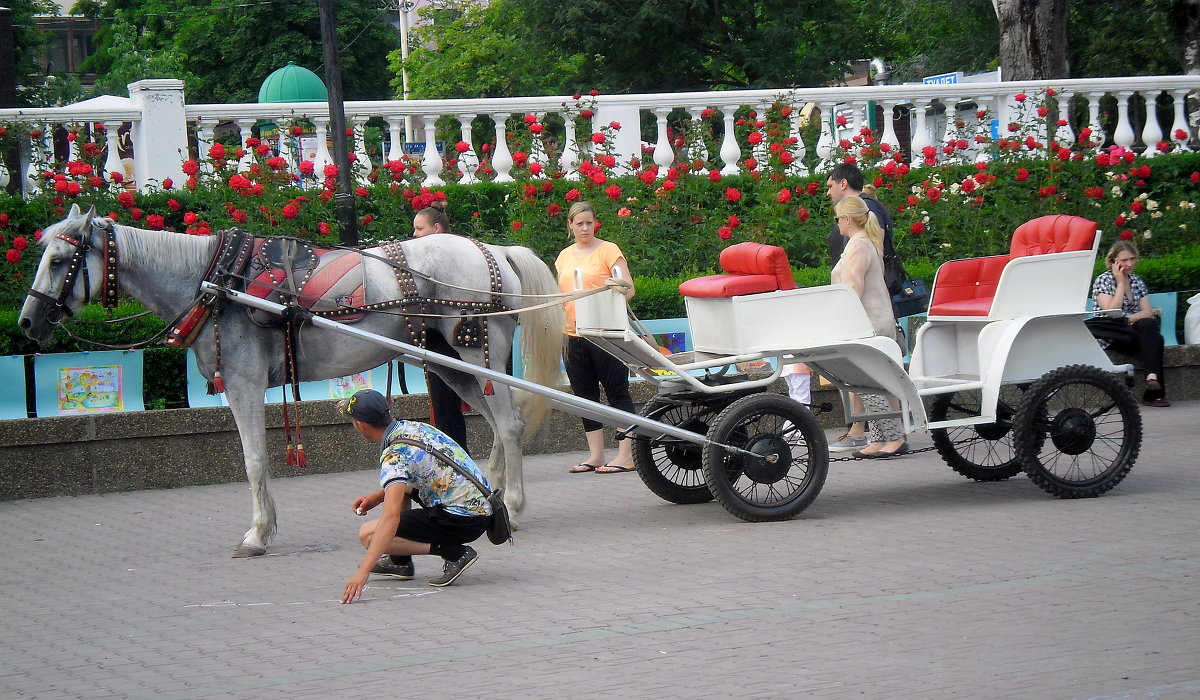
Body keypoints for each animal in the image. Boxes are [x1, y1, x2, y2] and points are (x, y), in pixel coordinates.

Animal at [17, 204, 561, 559]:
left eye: (60, 261)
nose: (27, 322)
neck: (216, 282)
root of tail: (493, 250)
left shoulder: (243, 382)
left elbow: (254, 460)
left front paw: (258, 534)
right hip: (450, 363)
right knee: (498, 426)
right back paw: (494, 496)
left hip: (470, 351)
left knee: (509, 425)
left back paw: (512, 504)